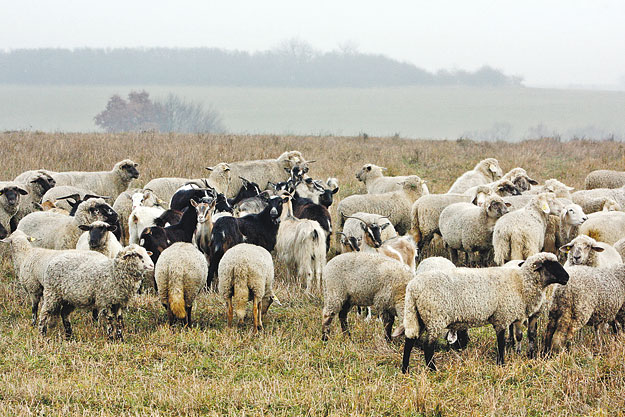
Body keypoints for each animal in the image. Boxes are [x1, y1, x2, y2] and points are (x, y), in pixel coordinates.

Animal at [400, 250, 572, 370]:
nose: (567, 277)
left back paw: (405, 369)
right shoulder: (502, 316)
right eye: (550, 264)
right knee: (428, 346)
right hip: (435, 317)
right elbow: (501, 343)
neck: (521, 282)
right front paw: (501, 363)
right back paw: (433, 370)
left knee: (409, 341)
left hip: (418, 315)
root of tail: (413, 288)